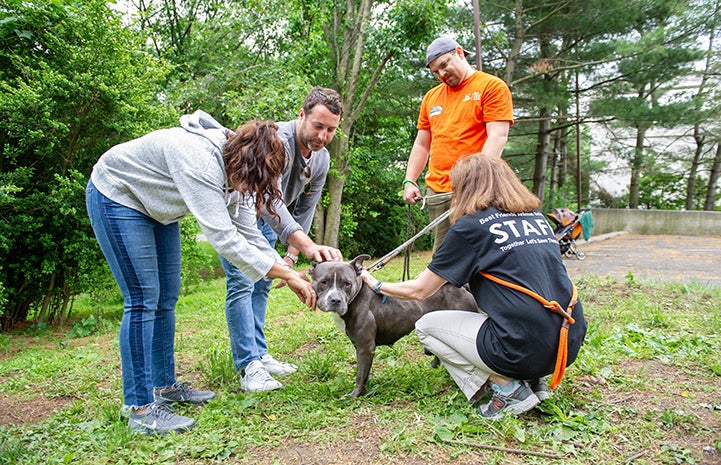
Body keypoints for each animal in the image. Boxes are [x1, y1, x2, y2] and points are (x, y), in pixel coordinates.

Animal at [310, 252, 478, 396]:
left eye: (347, 284)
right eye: (323, 282)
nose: (335, 300)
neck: (355, 297)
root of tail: (462, 289)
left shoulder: (365, 348)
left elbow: (360, 375)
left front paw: (355, 395)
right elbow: (364, 373)